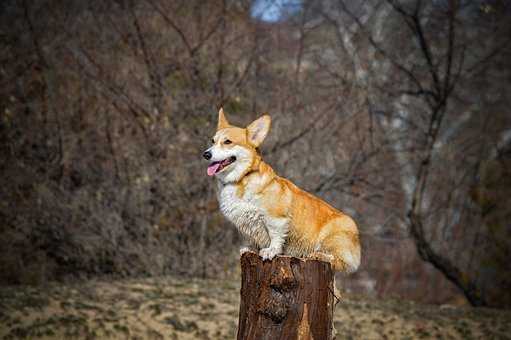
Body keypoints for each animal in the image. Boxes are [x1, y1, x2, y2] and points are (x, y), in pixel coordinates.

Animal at [202, 109, 362, 274]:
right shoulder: (246, 223)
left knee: (337, 261)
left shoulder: (275, 218)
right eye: (212, 141)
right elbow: (252, 238)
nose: (206, 154)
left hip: (333, 239)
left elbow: (275, 236)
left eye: (227, 142)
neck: (242, 178)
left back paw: (319, 255)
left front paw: (270, 251)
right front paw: (250, 249)